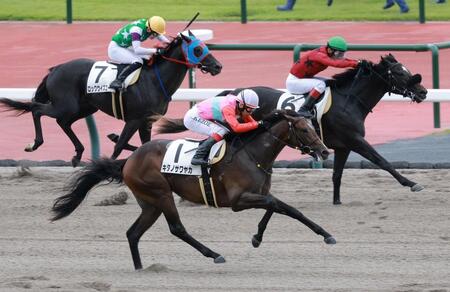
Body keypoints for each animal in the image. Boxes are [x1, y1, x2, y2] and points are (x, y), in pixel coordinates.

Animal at [0, 31, 221, 167]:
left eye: (204, 46)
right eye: (198, 49)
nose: (218, 66)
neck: (155, 80)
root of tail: (55, 69)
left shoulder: (146, 122)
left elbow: (143, 145)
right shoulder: (134, 120)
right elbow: (120, 144)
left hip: (84, 107)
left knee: (63, 122)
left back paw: (78, 153)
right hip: (66, 105)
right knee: (37, 109)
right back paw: (35, 143)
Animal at [52, 110, 332, 270]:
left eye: (314, 127)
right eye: (304, 129)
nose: (324, 151)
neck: (252, 154)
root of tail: (129, 160)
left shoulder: (259, 194)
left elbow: (285, 208)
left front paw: (324, 234)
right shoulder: (238, 201)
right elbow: (276, 206)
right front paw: (257, 238)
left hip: (150, 203)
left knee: (133, 233)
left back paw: (140, 268)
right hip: (161, 194)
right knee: (177, 228)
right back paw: (214, 254)